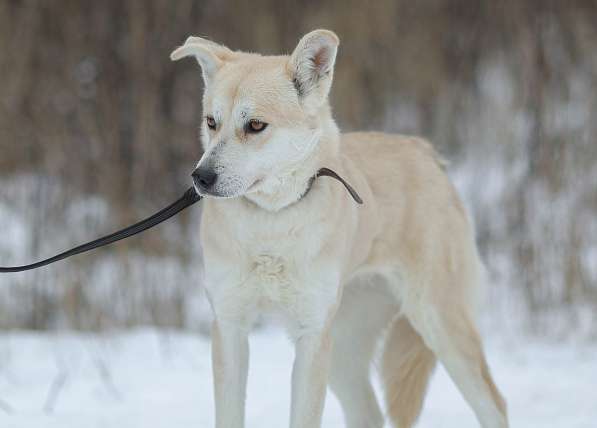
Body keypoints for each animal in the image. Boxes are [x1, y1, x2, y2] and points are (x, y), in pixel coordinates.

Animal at [170, 29, 506, 428]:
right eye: (212, 122)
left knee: (494, 405)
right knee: (369, 414)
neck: (272, 222)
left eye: (255, 125)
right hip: (346, 350)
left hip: (439, 324)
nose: (200, 177)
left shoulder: (313, 335)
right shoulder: (230, 327)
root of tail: (425, 152)